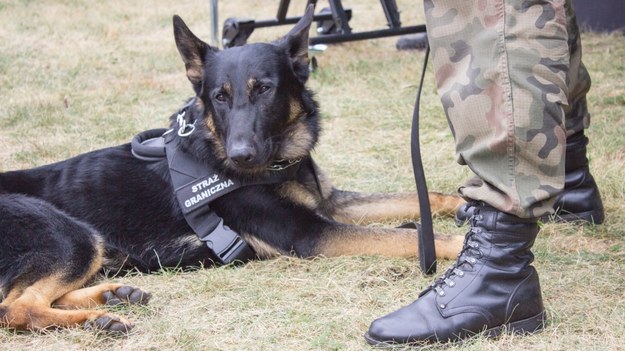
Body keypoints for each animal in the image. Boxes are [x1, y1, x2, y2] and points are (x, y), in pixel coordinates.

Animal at [0, 6, 464, 334]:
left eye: (265, 89)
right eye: (219, 97)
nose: (241, 156)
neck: (280, 161)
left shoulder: (331, 204)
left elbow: (421, 200)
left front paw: (464, 203)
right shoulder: (311, 233)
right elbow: (412, 235)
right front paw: (461, 242)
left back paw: (113, 296)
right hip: (73, 236)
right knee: (16, 308)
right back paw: (98, 320)